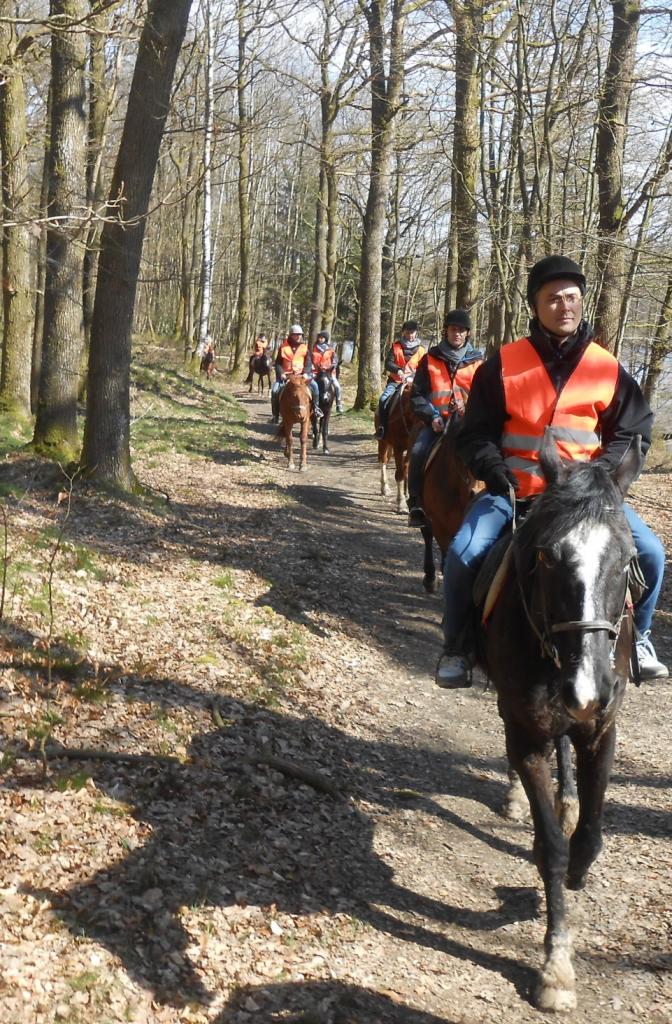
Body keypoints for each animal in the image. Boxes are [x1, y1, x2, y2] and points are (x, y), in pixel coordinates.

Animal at [372, 382, 413, 516]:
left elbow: (406, 469)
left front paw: (407, 495)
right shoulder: (398, 448)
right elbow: (399, 474)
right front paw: (401, 503)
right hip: (383, 442)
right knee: (383, 460)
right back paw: (384, 488)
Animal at [475, 430, 643, 1007]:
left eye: (628, 559)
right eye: (547, 556)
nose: (588, 688)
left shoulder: (601, 731)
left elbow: (588, 839)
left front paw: (577, 867)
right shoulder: (526, 733)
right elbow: (550, 847)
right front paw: (556, 967)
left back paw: (568, 798)